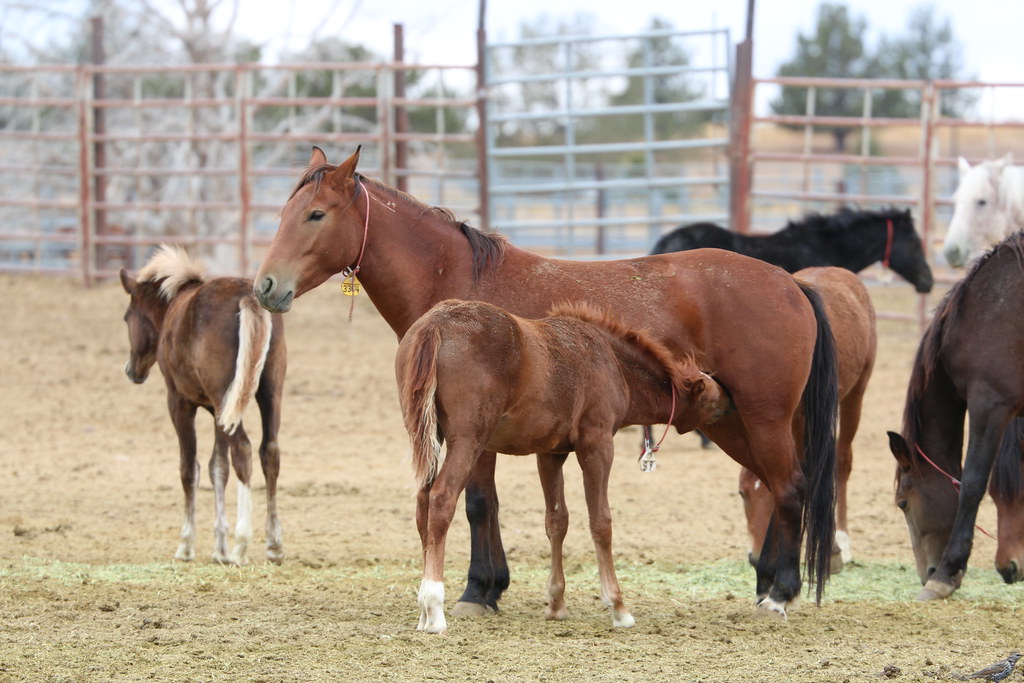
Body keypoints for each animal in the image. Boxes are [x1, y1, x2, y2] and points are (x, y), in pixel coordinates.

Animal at [120, 245, 287, 565]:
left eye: (127, 317)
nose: (131, 371)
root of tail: (247, 297)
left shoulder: (180, 403)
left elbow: (190, 468)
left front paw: (187, 545)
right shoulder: (217, 410)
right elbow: (217, 468)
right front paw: (219, 546)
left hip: (223, 398)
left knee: (243, 450)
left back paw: (241, 544)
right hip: (268, 393)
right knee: (269, 452)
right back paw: (273, 543)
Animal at [397, 299, 728, 633]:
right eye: (711, 396)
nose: (729, 401)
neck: (612, 361)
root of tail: (436, 323)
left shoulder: (550, 453)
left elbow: (556, 520)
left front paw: (556, 604)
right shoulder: (597, 445)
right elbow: (601, 522)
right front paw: (618, 607)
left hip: (428, 436)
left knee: (423, 503)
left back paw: (423, 610)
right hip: (469, 439)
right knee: (442, 498)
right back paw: (434, 607)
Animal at [740, 266, 877, 573]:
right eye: (743, 494)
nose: (754, 557)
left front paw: (830, 552)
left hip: (856, 395)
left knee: (842, 463)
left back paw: (843, 539)